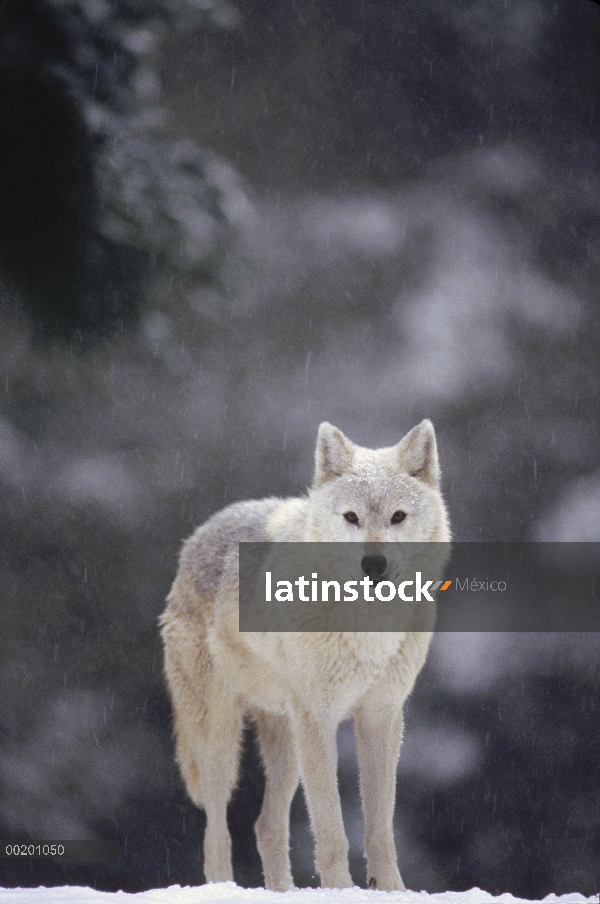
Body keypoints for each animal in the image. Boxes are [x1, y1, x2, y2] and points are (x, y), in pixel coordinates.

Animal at [159, 420, 450, 892]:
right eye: (351, 517)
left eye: (398, 517)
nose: (374, 565)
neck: (368, 628)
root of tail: (198, 535)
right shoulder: (319, 718)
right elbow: (331, 827)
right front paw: (342, 890)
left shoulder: (382, 716)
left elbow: (380, 825)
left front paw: (391, 889)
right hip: (221, 736)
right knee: (216, 832)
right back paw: (223, 886)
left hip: (285, 739)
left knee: (265, 825)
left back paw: (282, 891)